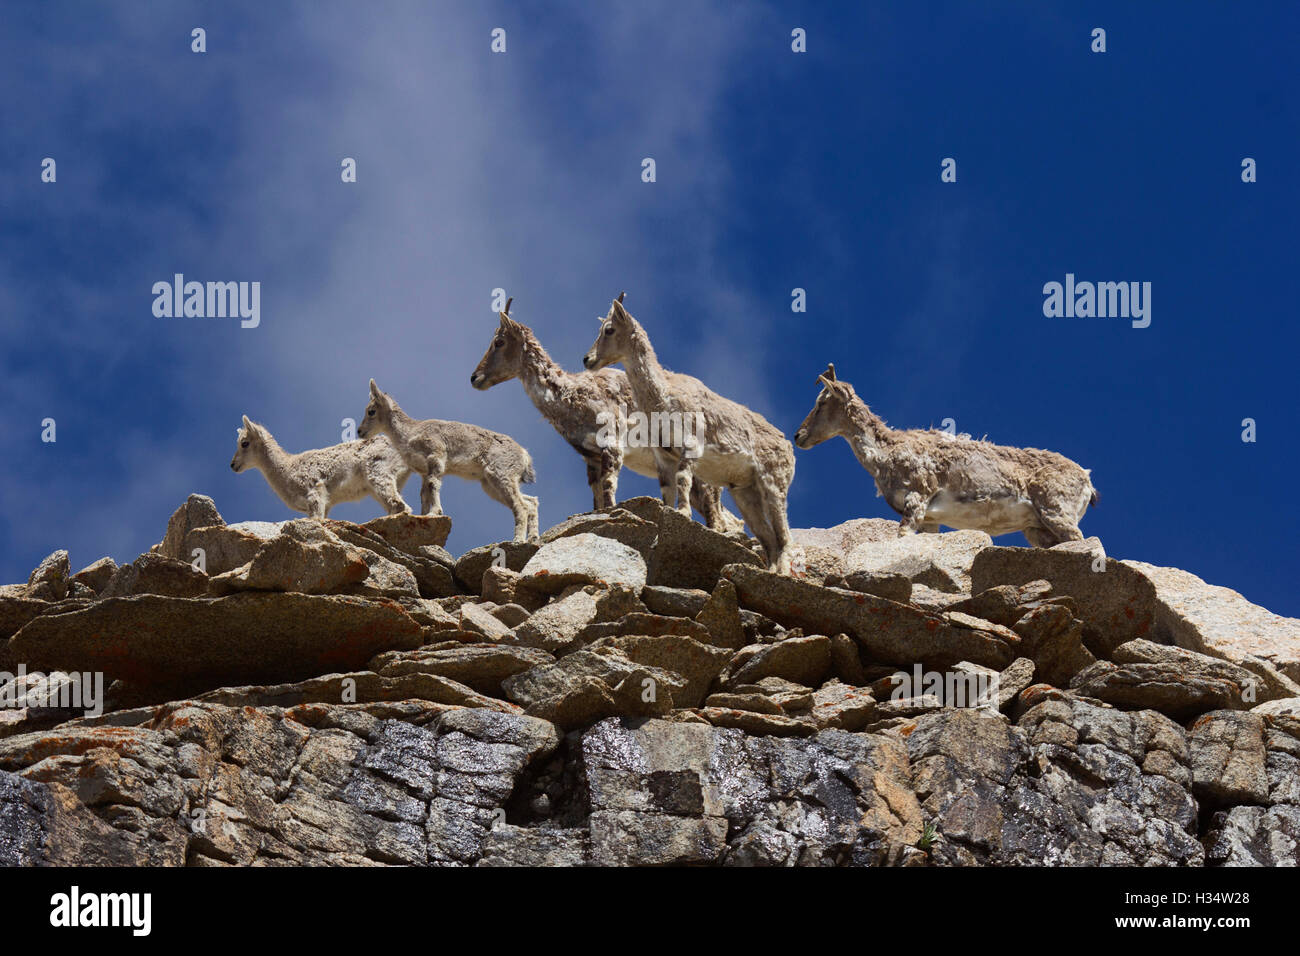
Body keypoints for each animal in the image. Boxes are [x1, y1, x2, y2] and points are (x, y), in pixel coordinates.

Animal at [230, 415, 413, 518]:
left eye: (244, 443)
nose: (233, 465)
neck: (287, 467)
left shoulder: (314, 493)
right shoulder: (324, 504)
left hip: (378, 473)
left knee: (399, 505)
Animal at [359, 380, 539, 542]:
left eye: (371, 411)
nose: (360, 431)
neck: (409, 434)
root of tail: (524, 455)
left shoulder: (436, 456)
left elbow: (433, 484)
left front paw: (435, 512)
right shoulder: (424, 471)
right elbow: (424, 493)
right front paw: (423, 515)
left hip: (501, 475)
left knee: (521, 506)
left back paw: (518, 540)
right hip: (491, 485)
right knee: (531, 502)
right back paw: (533, 538)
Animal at [469, 298, 745, 533]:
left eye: (499, 342)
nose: (474, 377)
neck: (570, 395)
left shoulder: (612, 444)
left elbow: (610, 487)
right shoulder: (589, 456)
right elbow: (596, 495)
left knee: (717, 512)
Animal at [582, 294, 795, 574]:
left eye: (609, 329)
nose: (587, 359)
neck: (663, 397)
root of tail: (789, 448)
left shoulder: (691, 444)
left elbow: (683, 478)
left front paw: (683, 513)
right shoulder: (663, 454)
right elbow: (667, 489)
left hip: (773, 483)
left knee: (784, 537)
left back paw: (783, 574)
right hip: (744, 492)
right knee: (769, 538)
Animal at [793, 364, 1098, 546]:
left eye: (821, 402)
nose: (798, 436)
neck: (887, 453)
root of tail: (1087, 480)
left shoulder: (917, 499)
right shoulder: (930, 520)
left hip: (1057, 510)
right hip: (1038, 529)